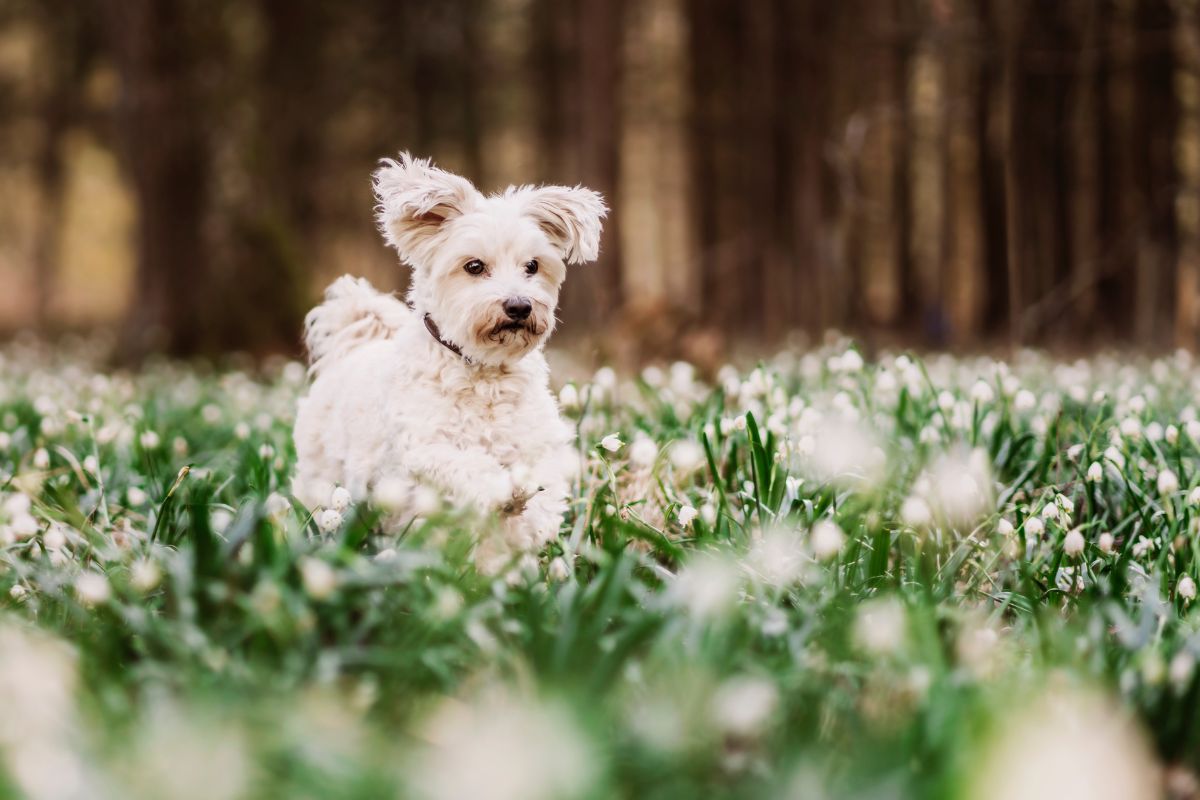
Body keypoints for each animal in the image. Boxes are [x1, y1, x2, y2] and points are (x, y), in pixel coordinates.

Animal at [291, 153, 609, 566]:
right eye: (474, 266)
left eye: (533, 266)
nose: (519, 306)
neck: (485, 374)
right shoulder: (425, 446)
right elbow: (468, 465)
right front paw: (504, 490)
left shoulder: (540, 443)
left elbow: (546, 484)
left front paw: (531, 518)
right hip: (324, 480)